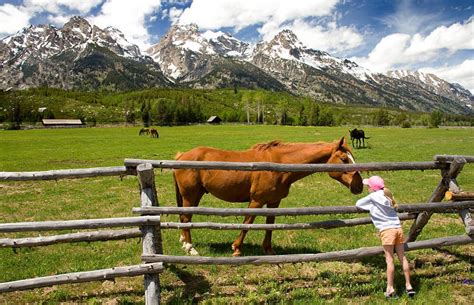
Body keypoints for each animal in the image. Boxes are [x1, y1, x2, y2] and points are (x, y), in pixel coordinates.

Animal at [174, 137, 362, 255]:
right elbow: (247, 224)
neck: (279, 164)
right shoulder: (256, 201)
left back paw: (184, 242)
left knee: (184, 218)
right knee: (186, 218)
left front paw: (269, 249)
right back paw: (190, 248)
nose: (359, 186)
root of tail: (181, 155)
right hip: (190, 196)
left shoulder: (274, 202)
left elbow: (270, 225)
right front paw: (236, 248)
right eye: (344, 159)